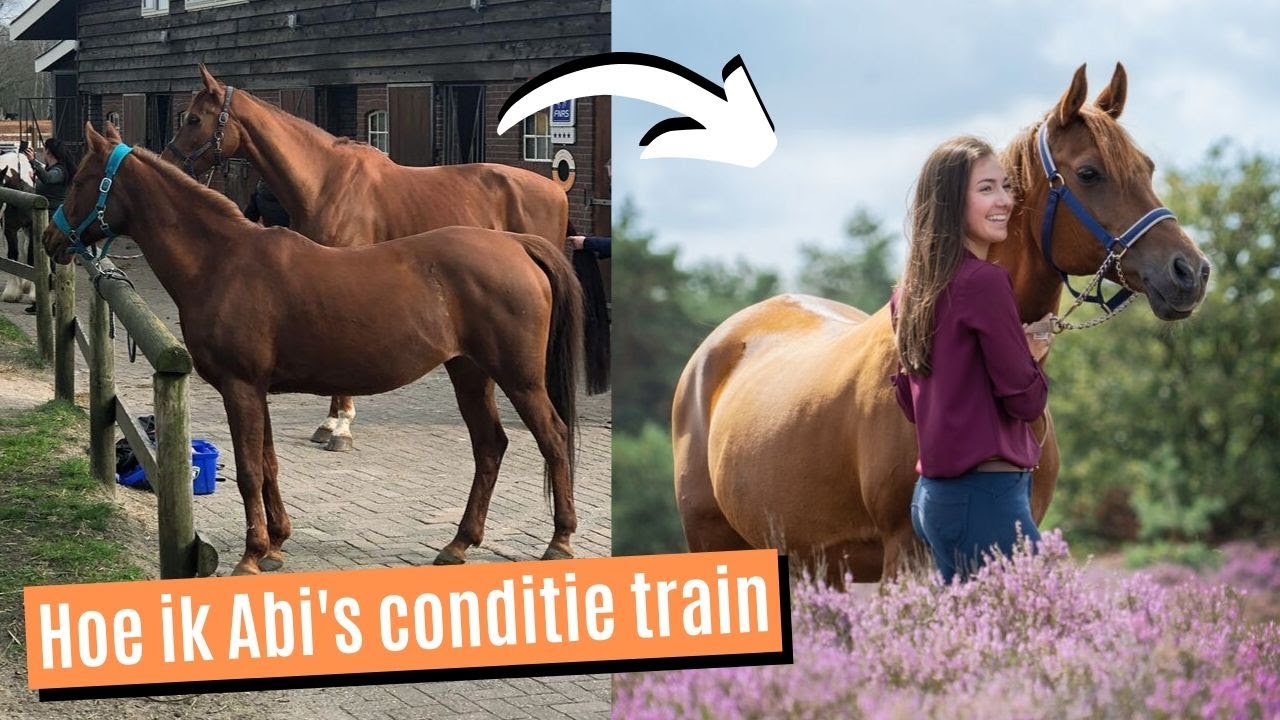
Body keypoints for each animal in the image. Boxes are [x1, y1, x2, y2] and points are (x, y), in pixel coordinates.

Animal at [48, 121, 587, 576]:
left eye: (81, 181)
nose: (54, 238)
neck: (224, 262)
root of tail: (517, 245)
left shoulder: (240, 388)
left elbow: (248, 471)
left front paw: (251, 555)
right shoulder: (256, 390)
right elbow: (268, 465)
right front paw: (276, 544)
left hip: (519, 379)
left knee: (553, 437)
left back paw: (559, 540)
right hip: (470, 373)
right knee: (490, 446)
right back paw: (458, 543)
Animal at [160, 64, 609, 454]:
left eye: (194, 119)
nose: (168, 162)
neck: (326, 181)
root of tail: (554, 190)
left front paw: (341, 427)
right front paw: (330, 422)